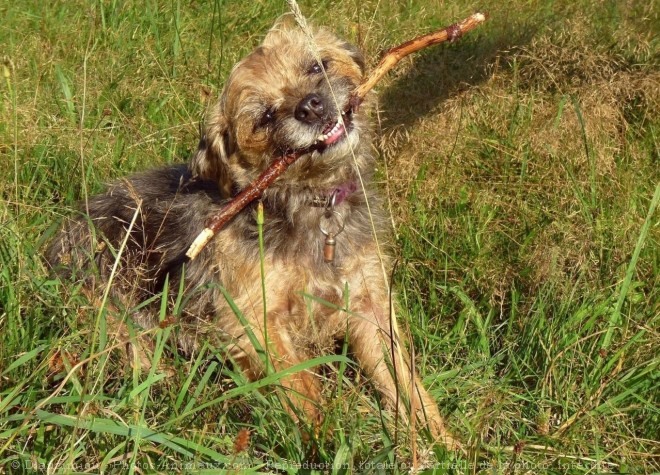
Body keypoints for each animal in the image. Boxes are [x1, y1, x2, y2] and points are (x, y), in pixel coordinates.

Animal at [47, 17, 458, 450]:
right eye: (264, 117)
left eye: (317, 65)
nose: (309, 105)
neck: (312, 202)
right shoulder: (255, 320)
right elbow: (301, 388)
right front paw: (322, 444)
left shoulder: (369, 307)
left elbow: (405, 384)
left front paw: (443, 444)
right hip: (109, 308)